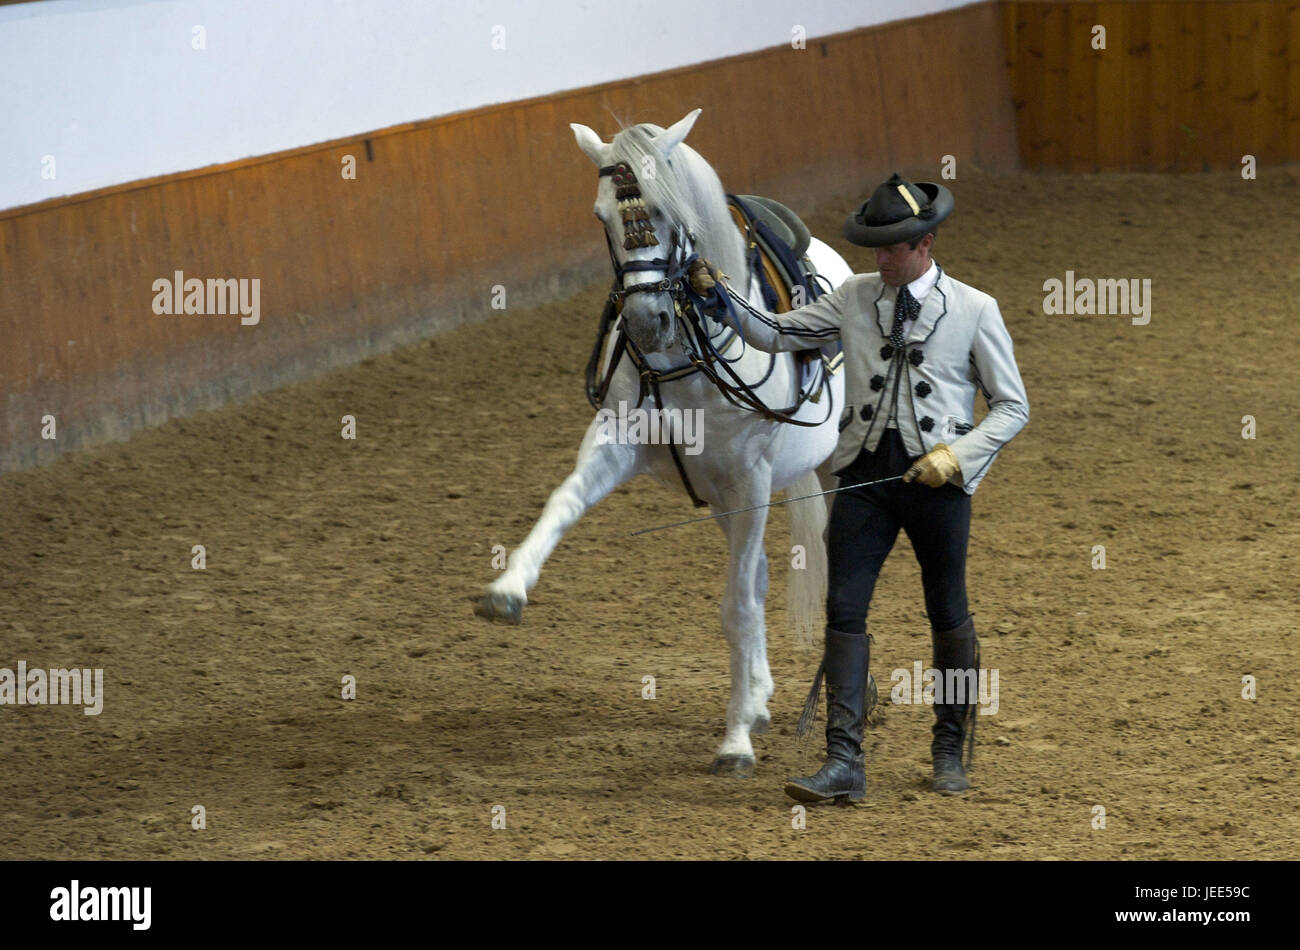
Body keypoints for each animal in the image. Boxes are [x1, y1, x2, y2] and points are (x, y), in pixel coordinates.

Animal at [475, 109, 852, 779]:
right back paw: (758, 697)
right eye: (601, 216)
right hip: (725, 502)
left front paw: (734, 743)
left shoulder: (751, 480)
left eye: (668, 210)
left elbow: (736, 606)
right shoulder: (618, 447)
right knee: (758, 576)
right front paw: (507, 590)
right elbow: (561, 503)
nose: (647, 322)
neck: (690, 354)